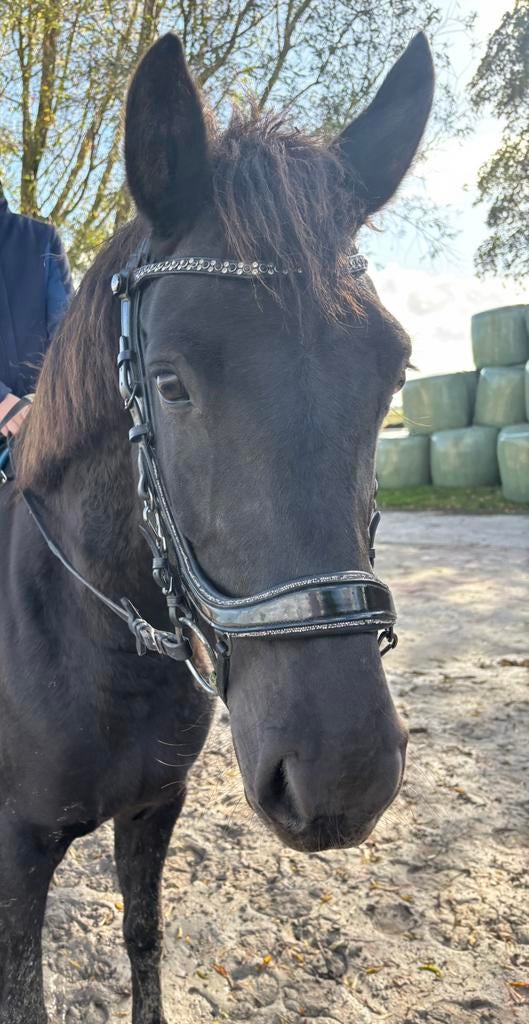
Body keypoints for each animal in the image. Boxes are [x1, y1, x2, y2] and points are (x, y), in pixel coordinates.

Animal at [0, 30, 433, 1024]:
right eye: (168, 381)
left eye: (393, 371)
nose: (342, 773)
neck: (100, 647)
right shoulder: (18, 849)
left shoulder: (152, 812)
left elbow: (143, 944)